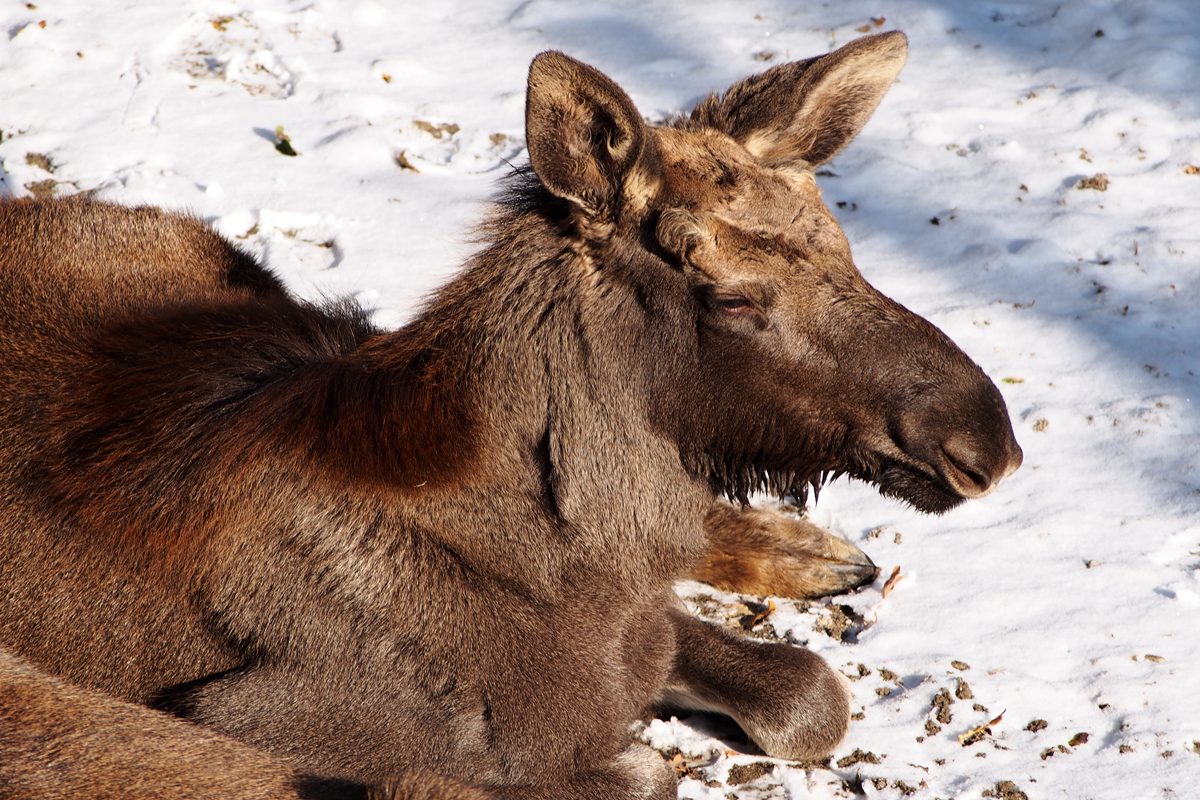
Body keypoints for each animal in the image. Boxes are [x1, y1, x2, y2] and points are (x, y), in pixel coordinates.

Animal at [0, 31, 1022, 800]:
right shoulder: (247, 721)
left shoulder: (640, 624)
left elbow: (808, 694)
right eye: (730, 296)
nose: (989, 440)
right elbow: (644, 767)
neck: (567, 577)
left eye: (844, 244)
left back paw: (813, 550)